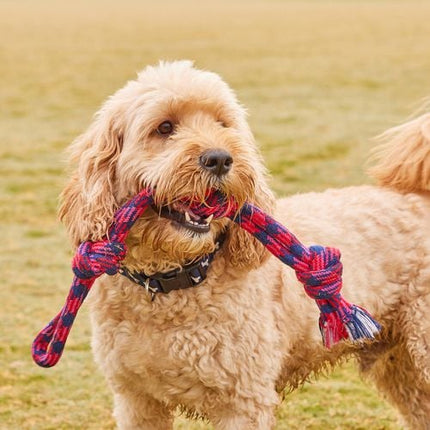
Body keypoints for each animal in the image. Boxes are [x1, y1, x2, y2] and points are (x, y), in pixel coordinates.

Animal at [58, 61, 430, 430]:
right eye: (164, 128)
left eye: (223, 124)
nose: (220, 159)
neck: (171, 284)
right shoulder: (137, 400)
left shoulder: (243, 400)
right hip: (403, 367)